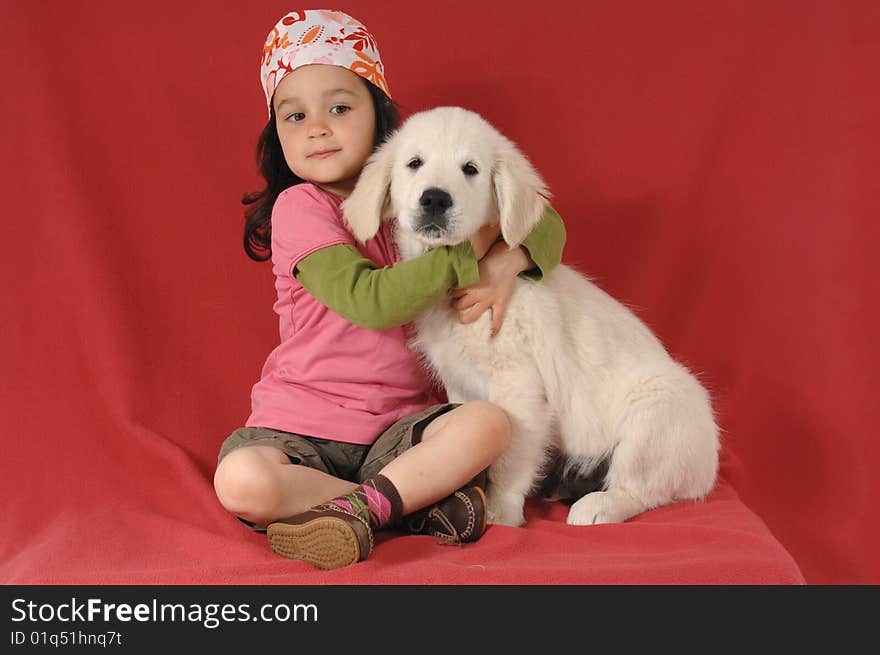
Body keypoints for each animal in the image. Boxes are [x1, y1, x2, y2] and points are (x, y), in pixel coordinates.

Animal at [340, 107, 720, 528]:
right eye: (414, 163)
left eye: (470, 169)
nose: (435, 199)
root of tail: (710, 467)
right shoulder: (460, 384)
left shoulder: (519, 389)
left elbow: (509, 460)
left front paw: (501, 513)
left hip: (658, 407)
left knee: (643, 488)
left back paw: (598, 506)